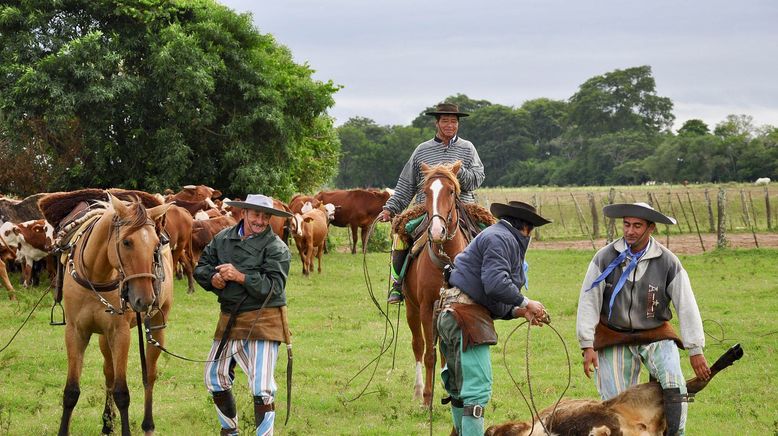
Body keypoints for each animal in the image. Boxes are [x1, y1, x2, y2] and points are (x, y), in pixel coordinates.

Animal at [51, 195, 173, 436]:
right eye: (127, 242)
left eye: (155, 245)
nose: (145, 299)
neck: (96, 275)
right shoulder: (75, 332)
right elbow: (71, 392)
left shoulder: (120, 334)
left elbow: (122, 393)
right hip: (103, 337)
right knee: (108, 372)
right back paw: (107, 423)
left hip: (155, 326)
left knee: (150, 376)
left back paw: (148, 424)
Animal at [400, 160, 466, 406]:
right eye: (427, 192)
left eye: (451, 191)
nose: (437, 231)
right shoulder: (427, 308)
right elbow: (429, 354)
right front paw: (427, 398)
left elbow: (450, 355)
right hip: (412, 309)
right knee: (418, 346)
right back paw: (419, 390)